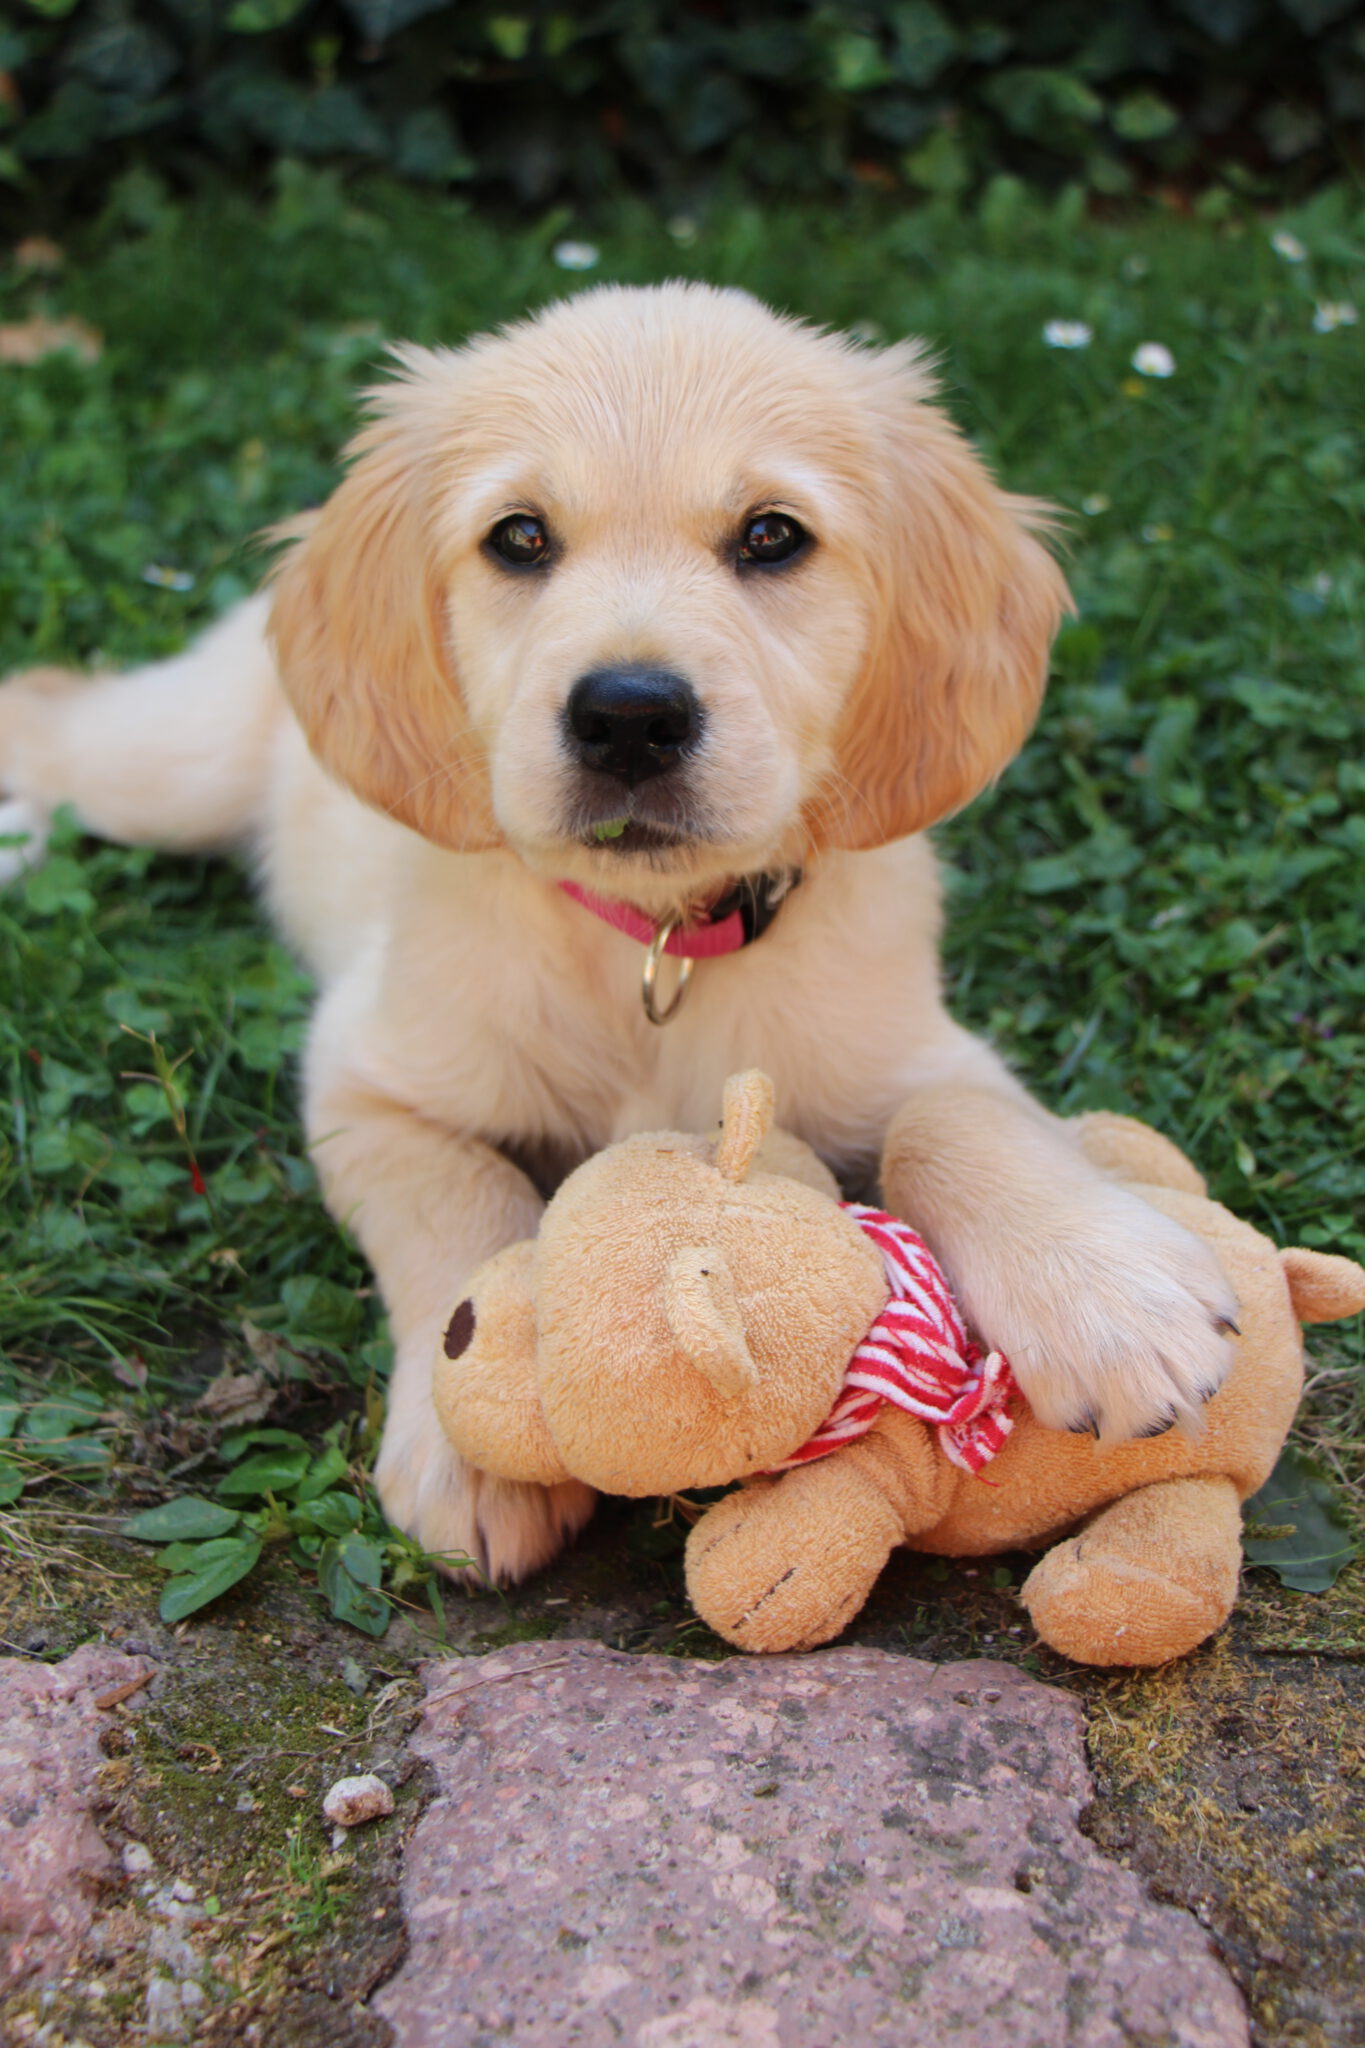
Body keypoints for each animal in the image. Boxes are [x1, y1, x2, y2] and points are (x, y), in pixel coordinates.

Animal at [0, 280, 1236, 1581]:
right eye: (520, 538)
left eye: (772, 536)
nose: (630, 716)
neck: (650, 941)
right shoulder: (365, 1080)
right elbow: (460, 1205)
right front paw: (466, 1447)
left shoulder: (907, 1038)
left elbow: (961, 1115)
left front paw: (1108, 1296)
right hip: (174, 769)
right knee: (52, 709)